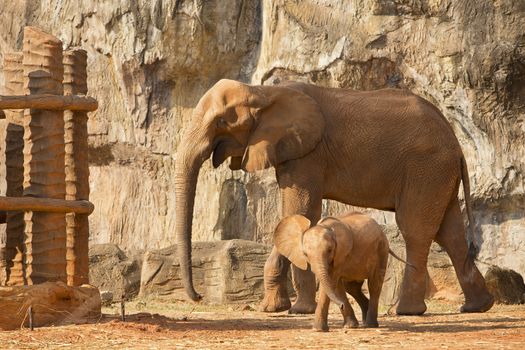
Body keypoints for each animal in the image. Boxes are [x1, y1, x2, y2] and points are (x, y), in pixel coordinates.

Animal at [174, 78, 494, 314]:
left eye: (222, 122)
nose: (198, 297)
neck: (262, 91)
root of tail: (457, 144)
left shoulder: (308, 153)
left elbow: (301, 212)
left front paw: (295, 310)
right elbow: (296, 215)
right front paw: (275, 309)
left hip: (426, 168)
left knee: (416, 230)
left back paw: (406, 311)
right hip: (438, 174)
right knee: (450, 231)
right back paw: (477, 307)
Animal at [274, 213, 402, 330]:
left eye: (330, 250)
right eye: (305, 254)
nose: (341, 305)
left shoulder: (341, 253)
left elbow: (332, 281)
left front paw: (319, 329)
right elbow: (335, 285)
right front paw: (349, 326)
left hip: (381, 250)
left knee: (374, 284)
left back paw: (370, 325)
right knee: (352, 288)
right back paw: (364, 321)